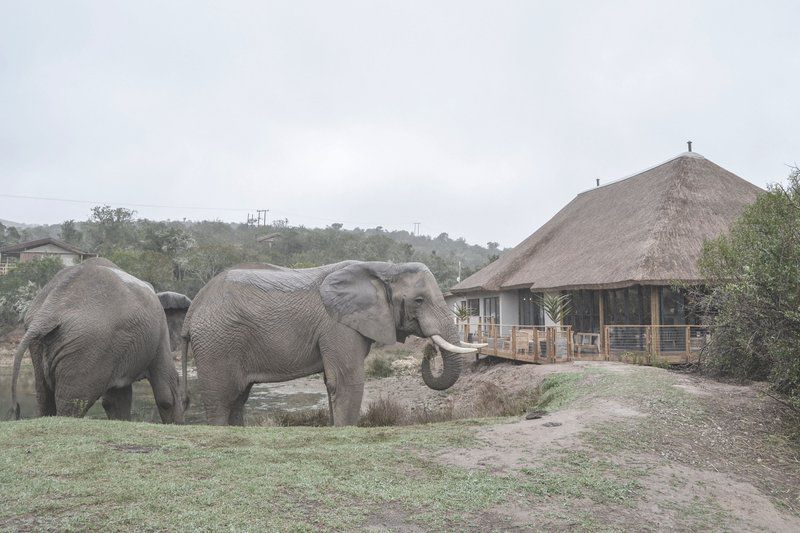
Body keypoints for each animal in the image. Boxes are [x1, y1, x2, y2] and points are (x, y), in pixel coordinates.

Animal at [181, 260, 482, 426]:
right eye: (419, 300)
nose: (429, 351)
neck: (384, 268)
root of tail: (193, 307)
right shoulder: (338, 325)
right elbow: (347, 381)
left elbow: (333, 383)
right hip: (216, 342)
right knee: (221, 399)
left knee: (238, 398)